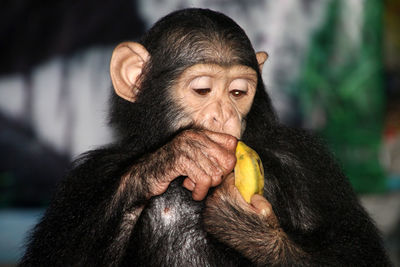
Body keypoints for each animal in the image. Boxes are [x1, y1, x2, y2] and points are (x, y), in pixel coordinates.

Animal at [19, 7, 390, 266]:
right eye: (202, 90)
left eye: (238, 92)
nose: (224, 115)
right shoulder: (86, 176)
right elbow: (56, 256)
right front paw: (179, 156)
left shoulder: (307, 160)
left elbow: (355, 251)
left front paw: (247, 227)